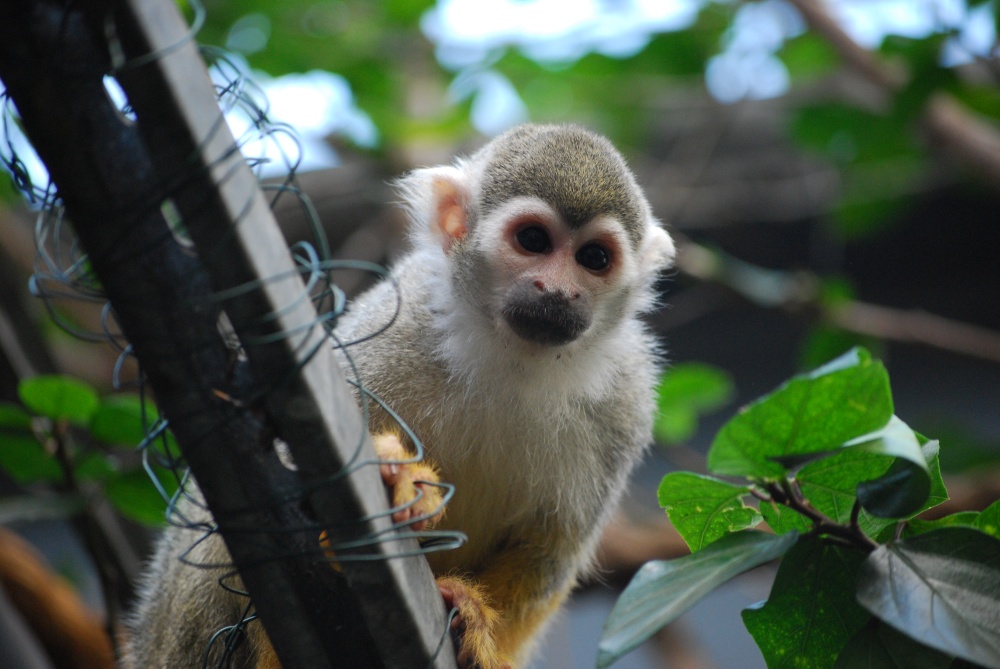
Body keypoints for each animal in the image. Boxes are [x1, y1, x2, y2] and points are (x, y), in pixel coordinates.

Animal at [123, 123, 675, 669]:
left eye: (594, 258)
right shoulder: (394, 323)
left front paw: (476, 621)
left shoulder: (627, 399)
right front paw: (398, 476)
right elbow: (278, 472)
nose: (558, 291)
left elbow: (547, 557)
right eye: (534, 240)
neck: (515, 357)